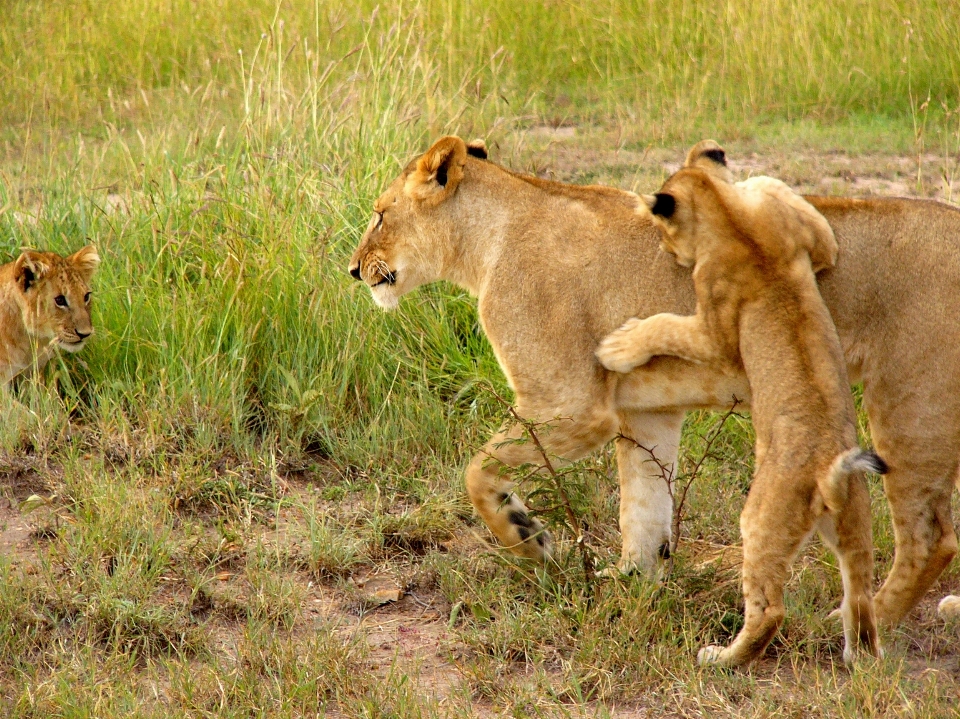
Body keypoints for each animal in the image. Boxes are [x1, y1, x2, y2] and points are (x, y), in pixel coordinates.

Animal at [348, 136, 960, 632]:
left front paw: (530, 540)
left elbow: (477, 470)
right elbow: (643, 514)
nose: (354, 271)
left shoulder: (573, 406)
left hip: (910, 405)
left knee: (931, 540)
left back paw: (854, 622)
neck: (486, 244)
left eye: (379, 215)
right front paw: (631, 595)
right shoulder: (645, 414)